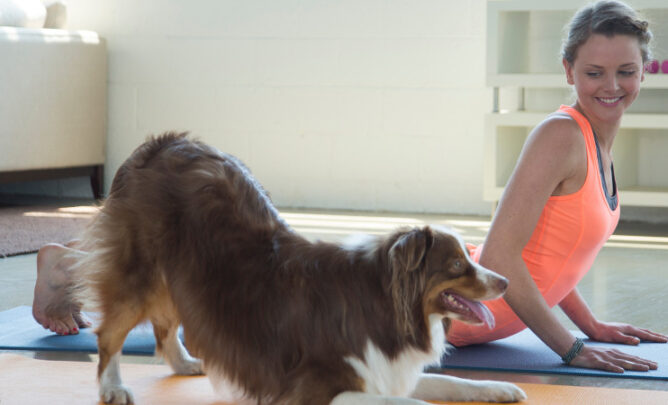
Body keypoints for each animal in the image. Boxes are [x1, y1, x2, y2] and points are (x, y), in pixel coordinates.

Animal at [70, 133, 524, 404]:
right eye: (456, 265)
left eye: (470, 257)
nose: (505, 282)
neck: (386, 302)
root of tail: (159, 144)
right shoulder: (316, 389)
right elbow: (405, 401)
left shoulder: (384, 369)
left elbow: (451, 381)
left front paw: (498, 387)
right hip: (141, 275)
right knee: (109, 333)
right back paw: (113, 387)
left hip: (183, 278)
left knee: (166, 327)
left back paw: (183, 363)